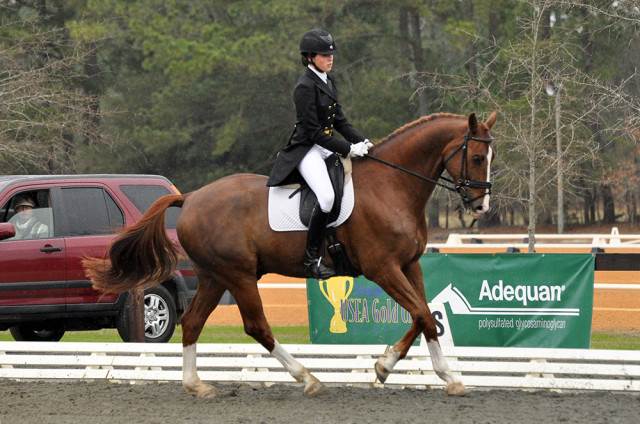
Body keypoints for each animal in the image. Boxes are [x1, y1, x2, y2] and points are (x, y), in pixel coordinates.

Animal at [82, 111, 498, 400]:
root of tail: (191, 198)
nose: (481, 207)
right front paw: (437, 375)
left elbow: (423, 315)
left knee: (193, 322)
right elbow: (424, 315)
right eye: (478, 157)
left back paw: (197, 386)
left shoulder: (409, 265)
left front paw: (399, 368)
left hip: (215, 276)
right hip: (239, 275)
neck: (392, 185)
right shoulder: (382, 268)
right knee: (256, 326)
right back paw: (308, 379)